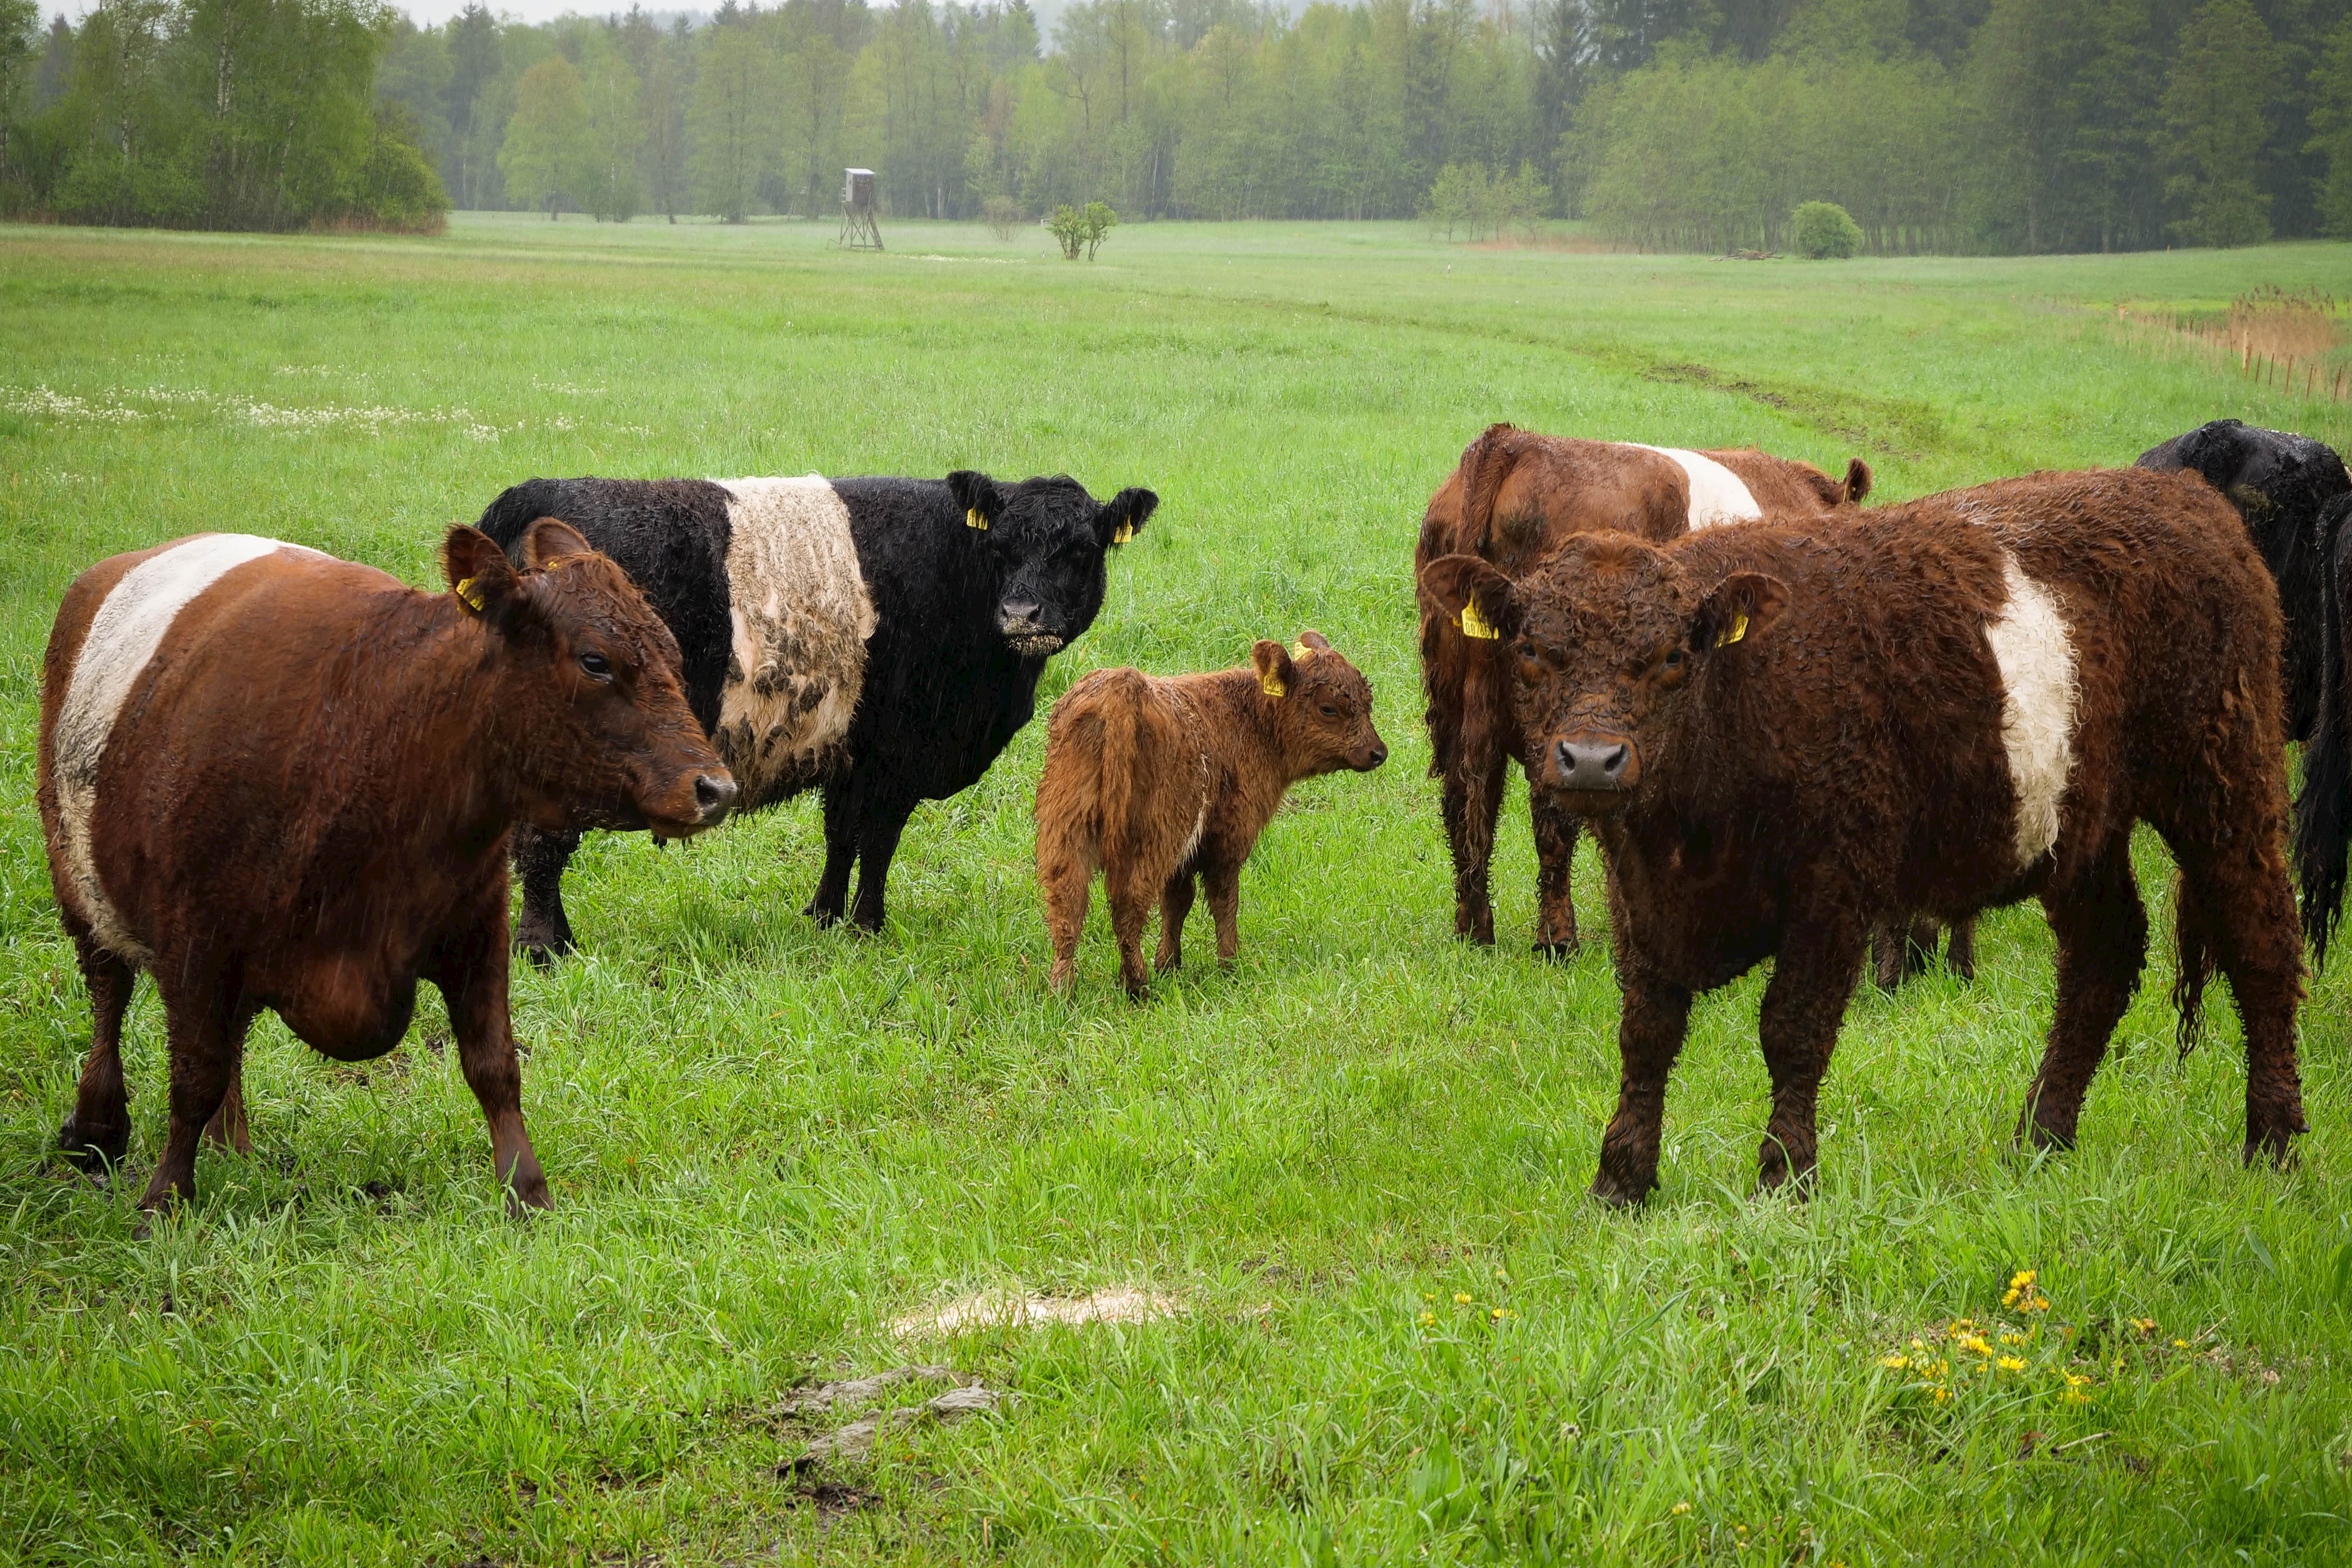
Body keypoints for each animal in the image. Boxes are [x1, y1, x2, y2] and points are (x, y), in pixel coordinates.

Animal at [482, 470, 1162, 959]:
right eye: (1000, 548)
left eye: (1082, 550)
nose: (1022, 613)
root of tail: (538, 492)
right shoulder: (897, 757)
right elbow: (880, 841)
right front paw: (867, 925)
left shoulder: (850, 751)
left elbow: (842, 836)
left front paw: (824, 916)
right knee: (542, 845)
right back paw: (545, 948)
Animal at [1039, 634, 1383, 992]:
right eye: (1328, 708)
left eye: (1367, 701)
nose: (1378, 752)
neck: (1249, 719)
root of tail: (1124, 684)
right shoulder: (1227, 841)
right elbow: (1223, 901)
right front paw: (1228, 965)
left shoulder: (1186, 855)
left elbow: (1177, 902)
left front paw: (1169, 965)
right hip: (1150, 838)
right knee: (1128, 906)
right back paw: (1137, 985)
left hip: (1067, 830)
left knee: (1067, 903)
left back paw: (1063, 989)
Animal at [1411, 420, 1872, 959]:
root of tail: (1513, 442)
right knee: (1549, 816)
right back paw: (1557, 939)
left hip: (1454, 696)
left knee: (1465, 799)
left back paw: (1475, 927)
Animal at [1420, 465, 2305, 1203]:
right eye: (1532, 650)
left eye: (1671, 656)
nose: (1592, 760)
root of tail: (2189, 495)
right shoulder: (1639, 891)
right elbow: (1646, 1030)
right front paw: (1622, 1179)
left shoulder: (1832, 885)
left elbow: (1792, 1027)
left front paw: (1785, 1176)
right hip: (2080, 827)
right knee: (2102, 959)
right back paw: (2041, 1139)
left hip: (2224, 782)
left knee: (2261, 944)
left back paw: (2274, 1146)